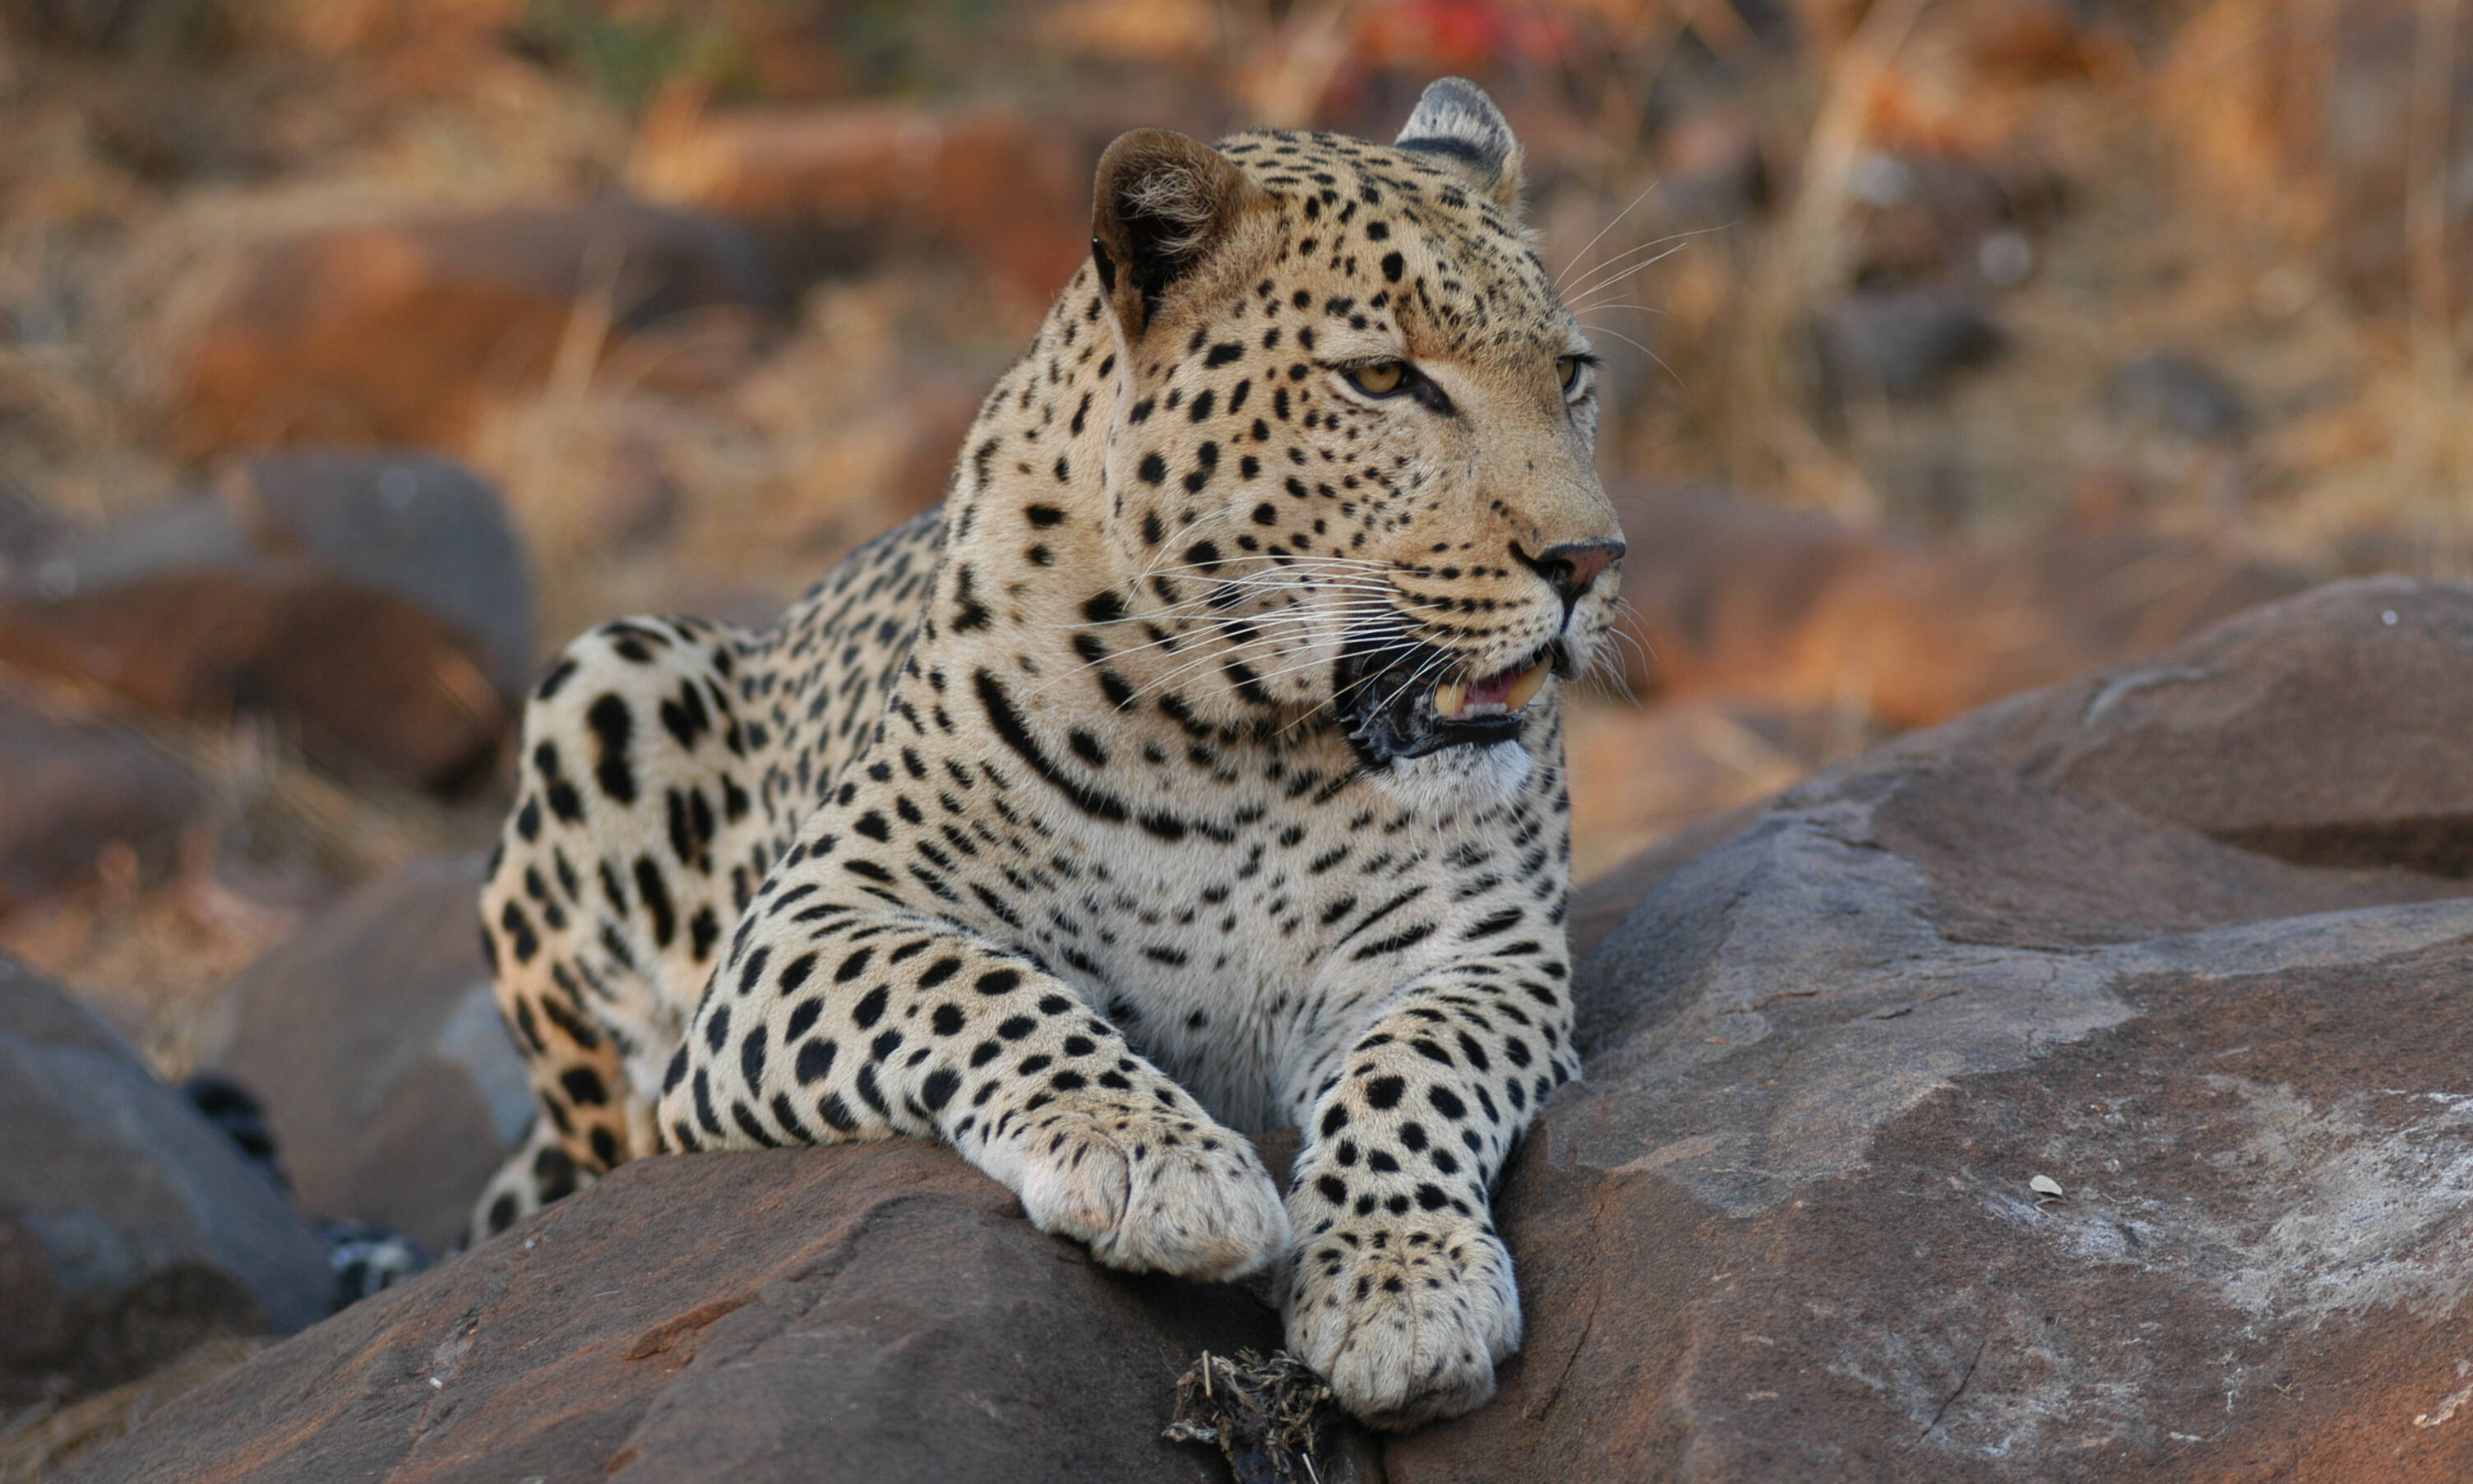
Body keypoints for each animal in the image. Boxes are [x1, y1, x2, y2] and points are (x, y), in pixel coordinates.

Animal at [467, 78, 1622, 1424]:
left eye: (1571, 374)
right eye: (1384, 378)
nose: (1591, 561)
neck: (1247, 754)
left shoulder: (1483, 958)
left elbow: (1413, 1076)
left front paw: (1403, 1284)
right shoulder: (809, 920)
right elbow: (975, 984)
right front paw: (1160, 1162)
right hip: (610, 671)